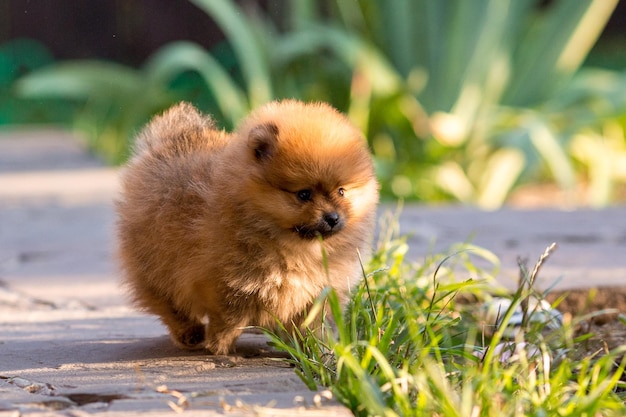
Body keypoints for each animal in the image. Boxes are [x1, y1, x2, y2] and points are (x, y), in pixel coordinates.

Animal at [117, 99, 380, 352]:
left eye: (341, 191)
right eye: (304, 194)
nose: (332, 217)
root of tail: (166, 142)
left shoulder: (320, 290)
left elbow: (314, 324)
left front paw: (318, 349)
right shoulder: (226, 282)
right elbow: (229, 318)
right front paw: (220, 346)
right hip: (155, 264)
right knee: (168, 303)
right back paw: (190, 334)